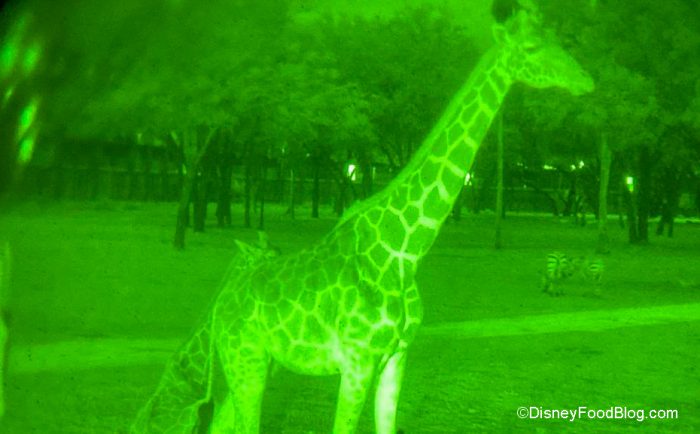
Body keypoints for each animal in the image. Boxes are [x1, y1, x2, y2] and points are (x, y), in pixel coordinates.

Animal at [130, 6, 592, 434]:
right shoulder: (357, 361)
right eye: (531, 48)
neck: (404, 251)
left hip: (258, 361)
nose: (586, 80)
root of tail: (221, 304)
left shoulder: (396, 357)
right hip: (245, 357)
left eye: (557, 39)